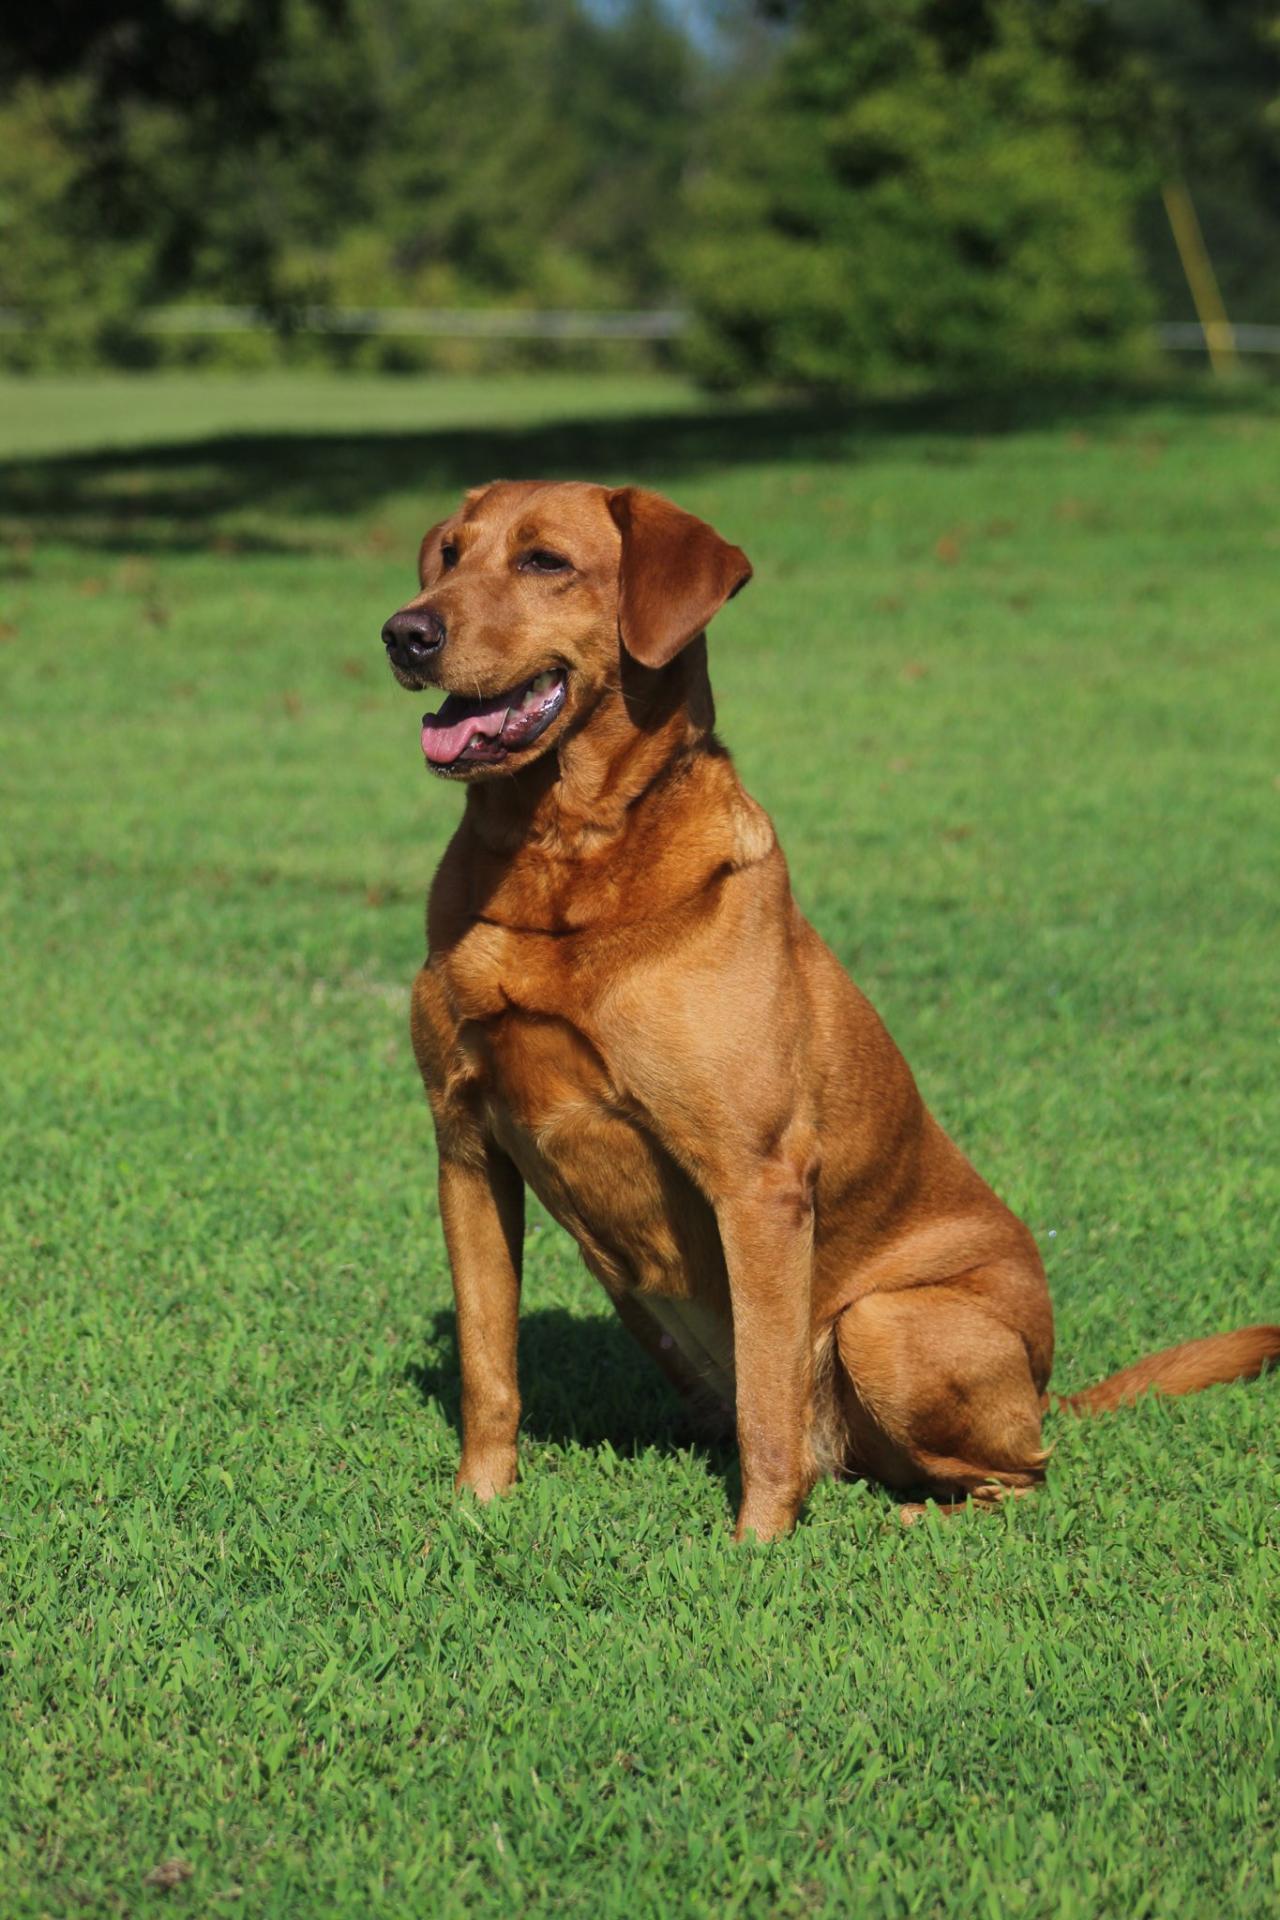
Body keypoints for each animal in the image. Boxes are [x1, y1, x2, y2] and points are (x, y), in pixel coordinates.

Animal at [383, 483, 1280, 1543]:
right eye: (448, 555)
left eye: (545, 562)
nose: (404, 632)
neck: (560, 860)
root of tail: (1045, 1386)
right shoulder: (467, 1147)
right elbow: (489, 1368)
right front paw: (476, 1506)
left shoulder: (759, 1181)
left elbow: (770, 1407)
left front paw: (756, 1548)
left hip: (884, 1323)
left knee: (1014, 1475)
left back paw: (914, 1519)